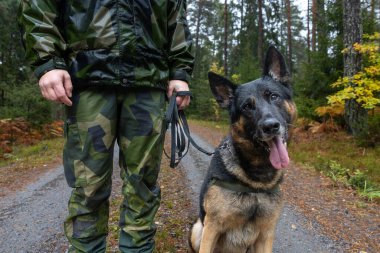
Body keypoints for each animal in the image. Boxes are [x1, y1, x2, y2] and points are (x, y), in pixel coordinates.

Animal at [190, 46, 296, 253]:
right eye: (247, 106)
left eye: (274, 96)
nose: (271, 126)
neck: (256, 181)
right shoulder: (212, 228)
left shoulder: (266, 235)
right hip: (198, 228)